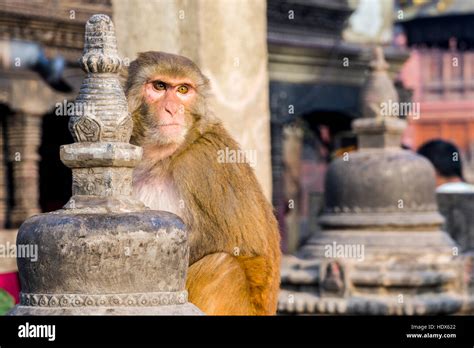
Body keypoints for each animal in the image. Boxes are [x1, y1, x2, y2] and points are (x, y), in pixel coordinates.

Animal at [124, 51, 284, 316]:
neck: (167, 155)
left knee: (222, 265)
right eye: (159, 86)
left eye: (182, 90)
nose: (172, 109)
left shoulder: (202, 164)